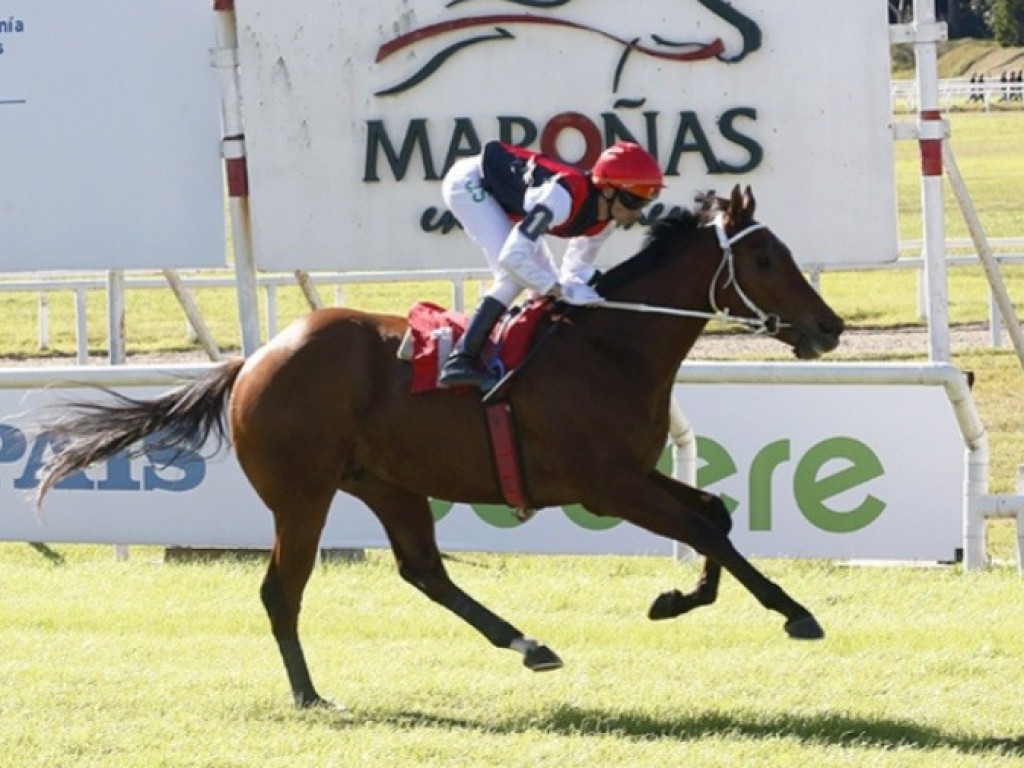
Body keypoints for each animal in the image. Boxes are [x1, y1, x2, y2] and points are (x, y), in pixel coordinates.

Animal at [36, 186, 843, 708]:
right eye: (764, 260)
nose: (829, 327)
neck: (612, 345)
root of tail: (254, 359)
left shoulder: (633, 474)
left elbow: (714, 513)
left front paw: (680, 597)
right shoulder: (606, 484)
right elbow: (707, 526)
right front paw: (792, 611)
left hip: (388, 483)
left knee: (423, 569)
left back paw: (529, 645)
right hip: (302, 495)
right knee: (281, 591)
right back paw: (309, 694)